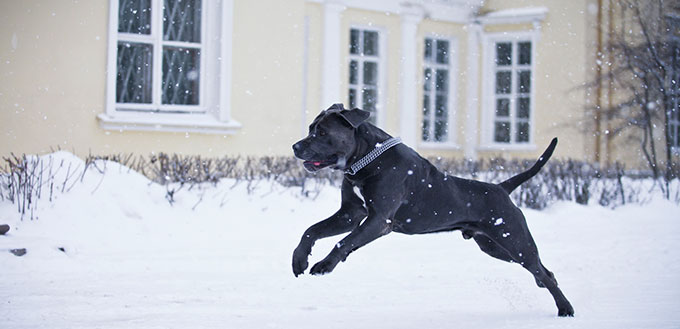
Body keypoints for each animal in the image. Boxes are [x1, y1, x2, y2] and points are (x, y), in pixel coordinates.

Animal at [290, 104, 572, 316]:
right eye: (310, 129)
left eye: (322, 132)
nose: (295, 146)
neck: (364, 159)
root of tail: (501, 188)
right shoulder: (350, 214)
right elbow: (311, 230)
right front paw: (300, 260)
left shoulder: (379, 220)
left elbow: (343, 242)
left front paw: (324, 265)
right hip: (494, 247)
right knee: (544, 270)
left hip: (514, 240)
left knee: (539, 268)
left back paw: (565, 308)